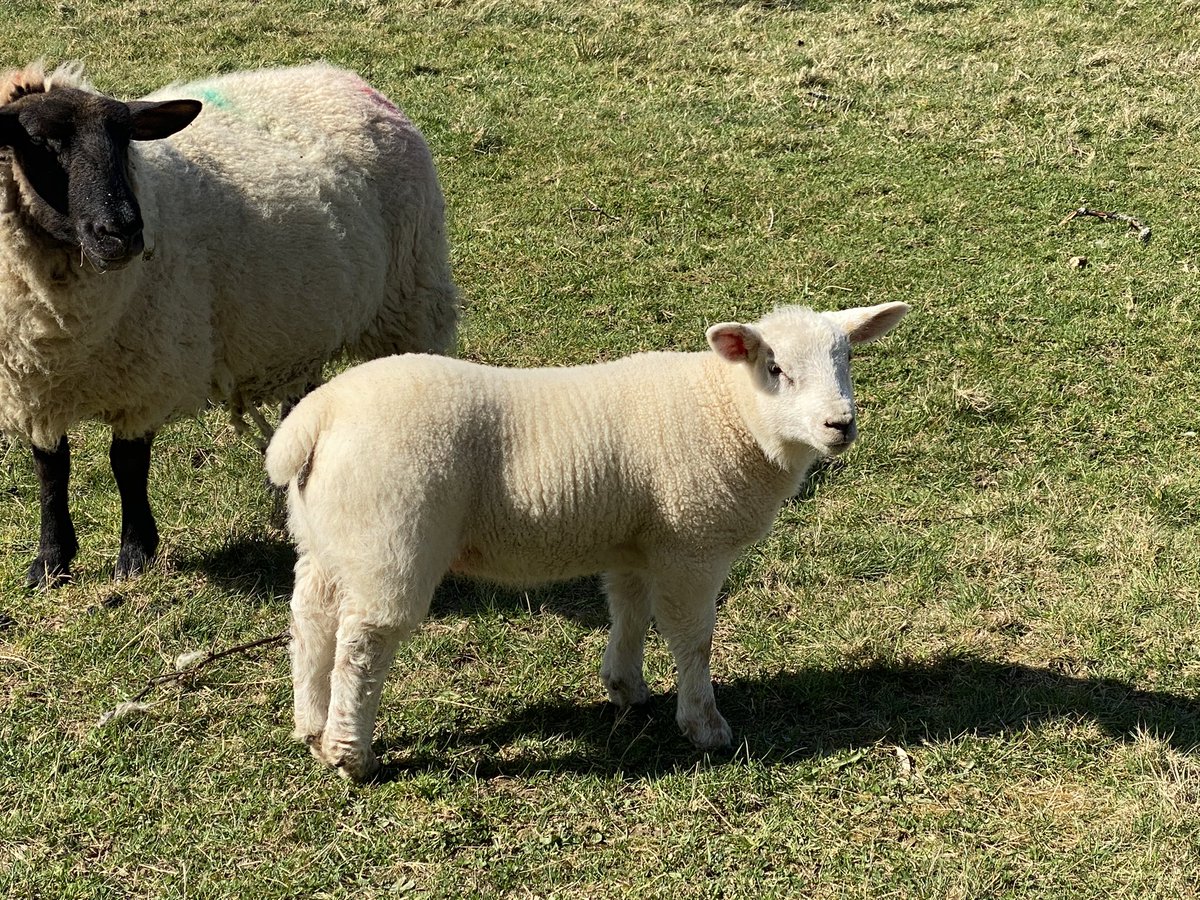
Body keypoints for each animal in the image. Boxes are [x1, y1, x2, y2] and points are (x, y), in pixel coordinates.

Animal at [0, 61, 458, 588]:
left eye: (124, 138)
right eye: (39, 140)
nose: (123, 231)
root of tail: (342, 77)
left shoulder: (147, 372)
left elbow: (127, 465)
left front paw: (134, 555)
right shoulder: (33, 385)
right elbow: (51, 469)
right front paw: (50, 561)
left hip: (412, 298)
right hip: (301, 326)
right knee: (301, 404)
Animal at [265, 301, 909, 781]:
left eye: (847, 357)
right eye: (775, 369)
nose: (840, 424)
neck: (730, 413)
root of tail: (316, 418)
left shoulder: (639, 542)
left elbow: (630, 611)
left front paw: (627, 688)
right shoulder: (692, 546)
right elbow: (693, 638)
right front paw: (704, 725)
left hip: (329, 539)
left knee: (311, 618)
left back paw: (312, 724)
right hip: (389, 540)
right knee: (362, 644)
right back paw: (351, 755)